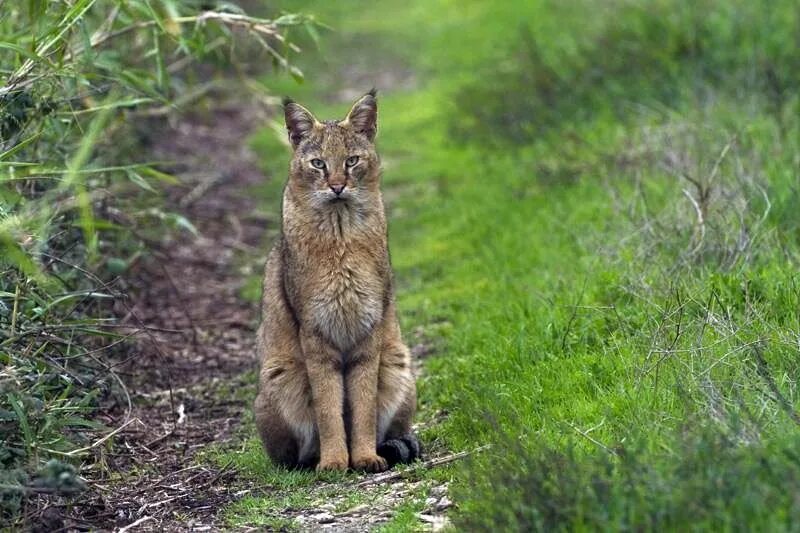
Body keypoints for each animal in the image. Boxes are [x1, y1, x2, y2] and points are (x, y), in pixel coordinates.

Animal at [255, 90, 418, 470]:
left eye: (352, 161)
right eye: (318, 164)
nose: (337, 186)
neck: (340, 232)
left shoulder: (368, 331)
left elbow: (362, 406)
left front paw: (364, 455)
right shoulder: (315, 334)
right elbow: (328, 407)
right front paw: (333, 460)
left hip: (398, 362)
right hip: (280, 374)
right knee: (290, 454)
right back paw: (312, 459)